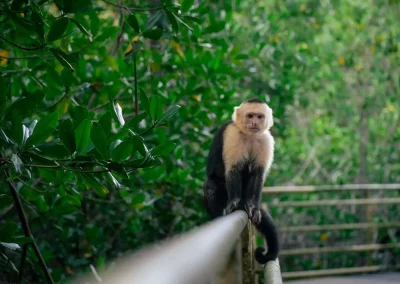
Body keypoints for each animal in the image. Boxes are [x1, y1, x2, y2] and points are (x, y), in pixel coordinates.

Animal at [203, 97, 278, 264]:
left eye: (259, 116)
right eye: (250, 116)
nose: (254, 122)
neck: (249, 135)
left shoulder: (266, 139)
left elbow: (258, 173)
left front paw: (253, 207)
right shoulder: (232, 134)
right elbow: (234, 169)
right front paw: (234, 203)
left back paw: (247, 205)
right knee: (212, 185)